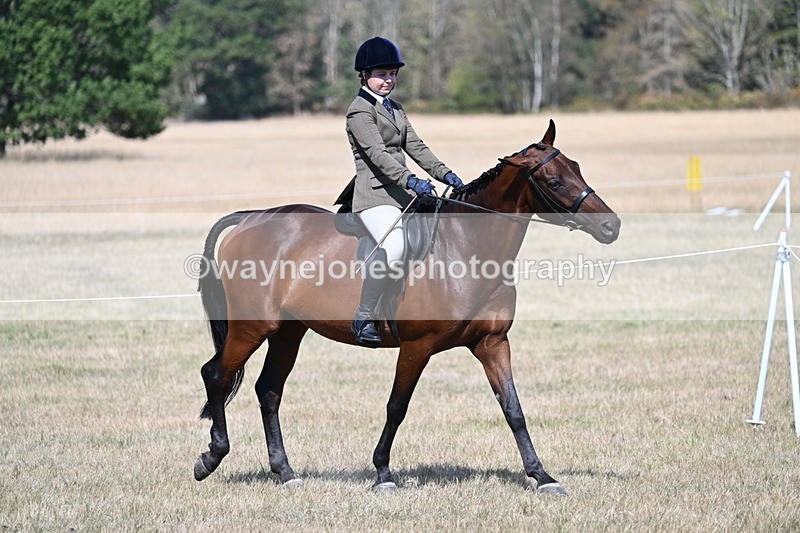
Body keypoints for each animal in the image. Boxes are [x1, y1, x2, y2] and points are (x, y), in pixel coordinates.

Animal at [193, 119, 620, 496]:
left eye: (577, 168)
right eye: (554, 181)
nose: (611, 227)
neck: (465, 249)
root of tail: (253, 218)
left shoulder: (493, 343)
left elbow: (513, 409)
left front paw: (542, 476)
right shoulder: (417, 346)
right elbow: (397, 406)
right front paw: (383, 474)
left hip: (288, 332)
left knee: (268, 390)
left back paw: (285, 472)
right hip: (253, 327)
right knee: (216, 375)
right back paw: (211, 458)